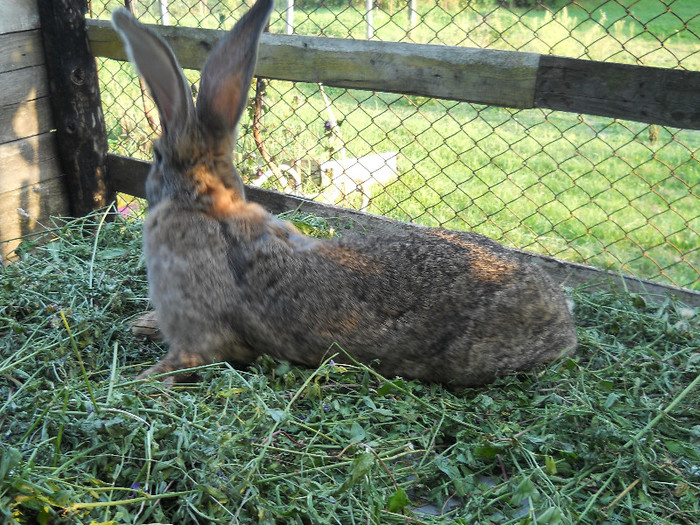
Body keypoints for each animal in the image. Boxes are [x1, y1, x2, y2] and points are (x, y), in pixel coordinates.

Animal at [112, 0, 576, 386]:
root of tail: (563, 320)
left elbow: (186, 360)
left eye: (155, 155)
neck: (205, 204)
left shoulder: (199, 339)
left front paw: (135, 379)